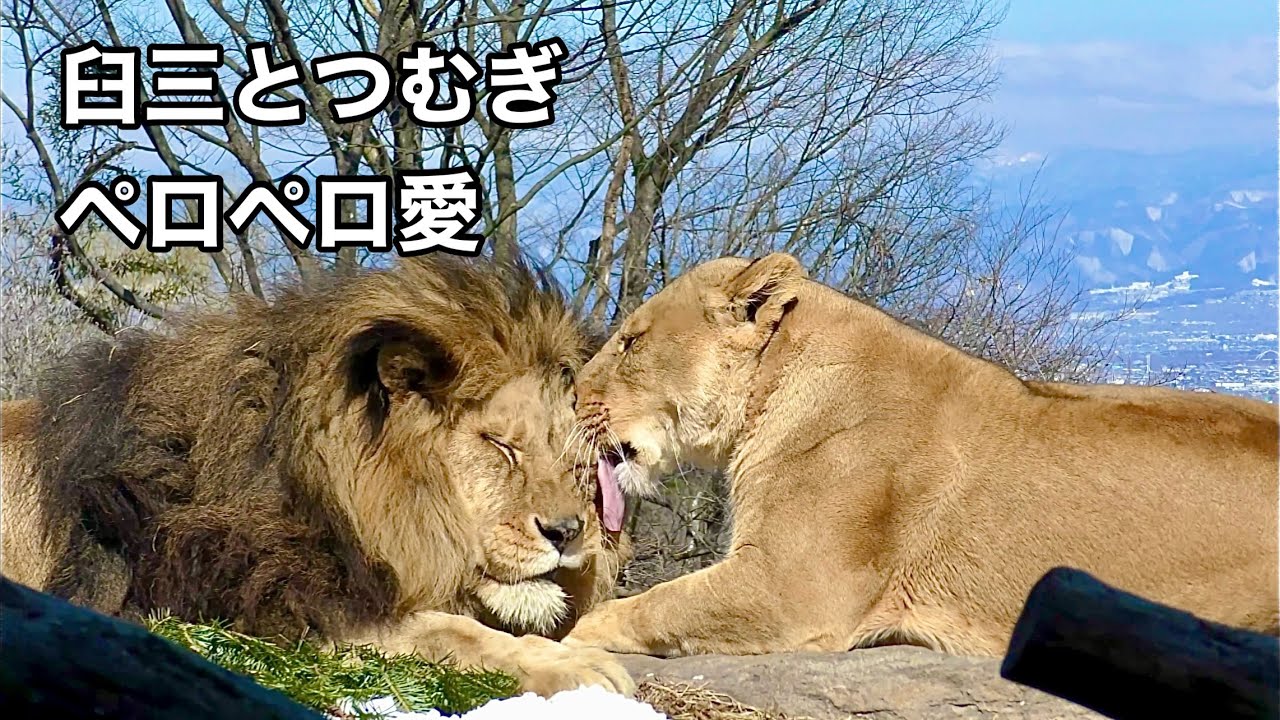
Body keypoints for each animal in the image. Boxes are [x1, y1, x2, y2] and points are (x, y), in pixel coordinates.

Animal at [0, 254, 635, 696]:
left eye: (573, 456)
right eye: (500, 446)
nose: (569, 533)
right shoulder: (258, 605)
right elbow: (447, 631)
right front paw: (581, 666)